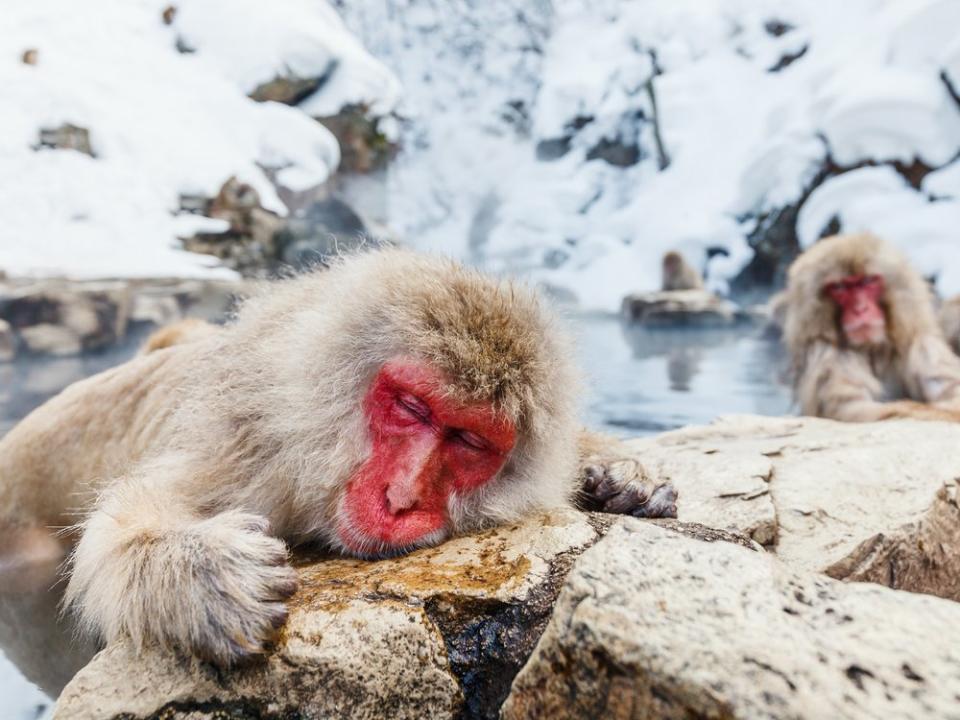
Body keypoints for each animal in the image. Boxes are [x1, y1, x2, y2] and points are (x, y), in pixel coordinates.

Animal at [0, 250, 676, 668]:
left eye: (469, 441)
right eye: (412, 408)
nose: (402, 496)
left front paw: (625, 475)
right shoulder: (249, 451)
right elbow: (126, 521)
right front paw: (200, 573)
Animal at [784, 233, 960, 422]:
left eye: (867, 281)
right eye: (839, 287)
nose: (860, 309)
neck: (873, 350)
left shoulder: (921, 343)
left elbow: (952, 393)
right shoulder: (827, 355)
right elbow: (851, 409)